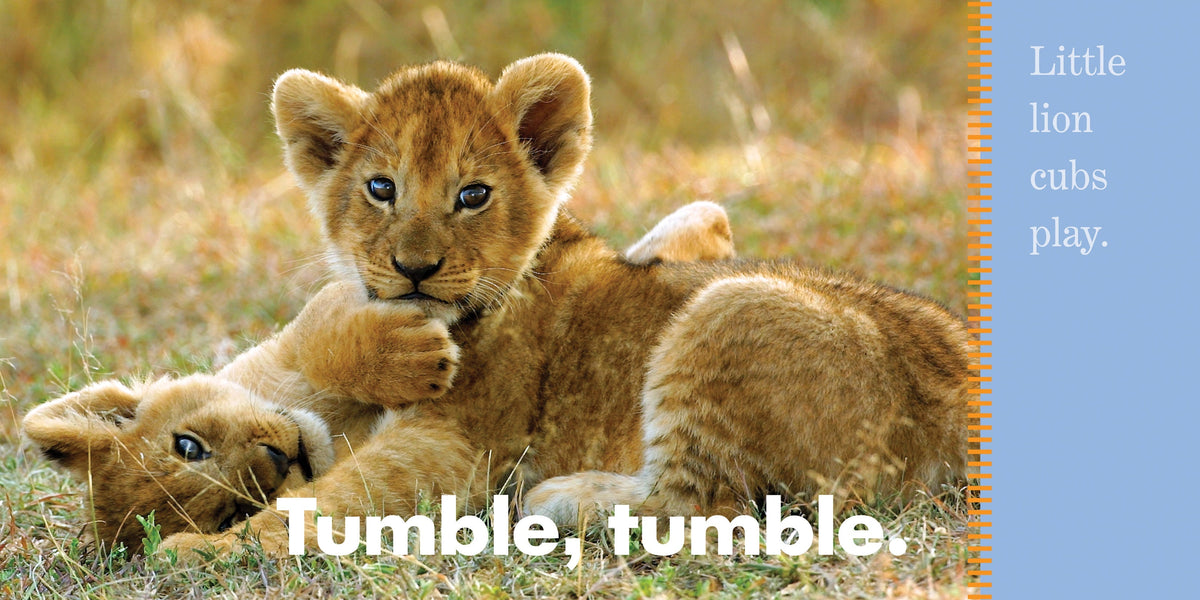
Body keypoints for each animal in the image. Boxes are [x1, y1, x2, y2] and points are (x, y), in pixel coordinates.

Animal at [25, 54, 969, 557]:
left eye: (473, 194)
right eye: (379, 188)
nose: (413, 270)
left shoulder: (460, 446)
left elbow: (331, 501)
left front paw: (209, 554)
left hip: (728, 310)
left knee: (714, 508)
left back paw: (561, 498)